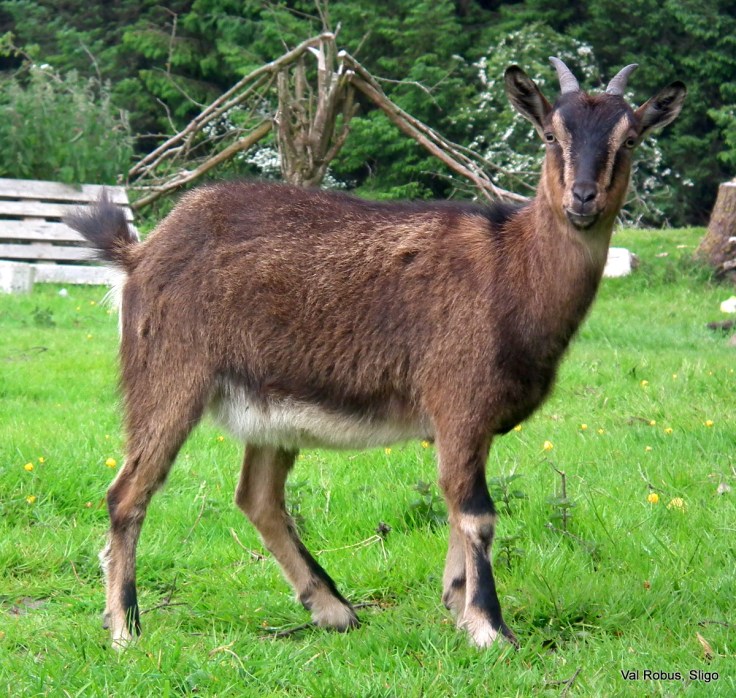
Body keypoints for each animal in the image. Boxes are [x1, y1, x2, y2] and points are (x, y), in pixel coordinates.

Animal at [66, 58, 685, 649]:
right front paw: (490, 628)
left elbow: (455, 505)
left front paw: (457, 604)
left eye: (632, 139)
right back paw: (125, 629)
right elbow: (477, 513)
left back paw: (333, 610)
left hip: (268, 409)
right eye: (551, 134)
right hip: (169, 375)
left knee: (258, 496)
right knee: (127, 494)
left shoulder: (473, 422)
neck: (513, 270)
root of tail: (139, 254)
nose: (582, 197)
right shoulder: (458, 397)